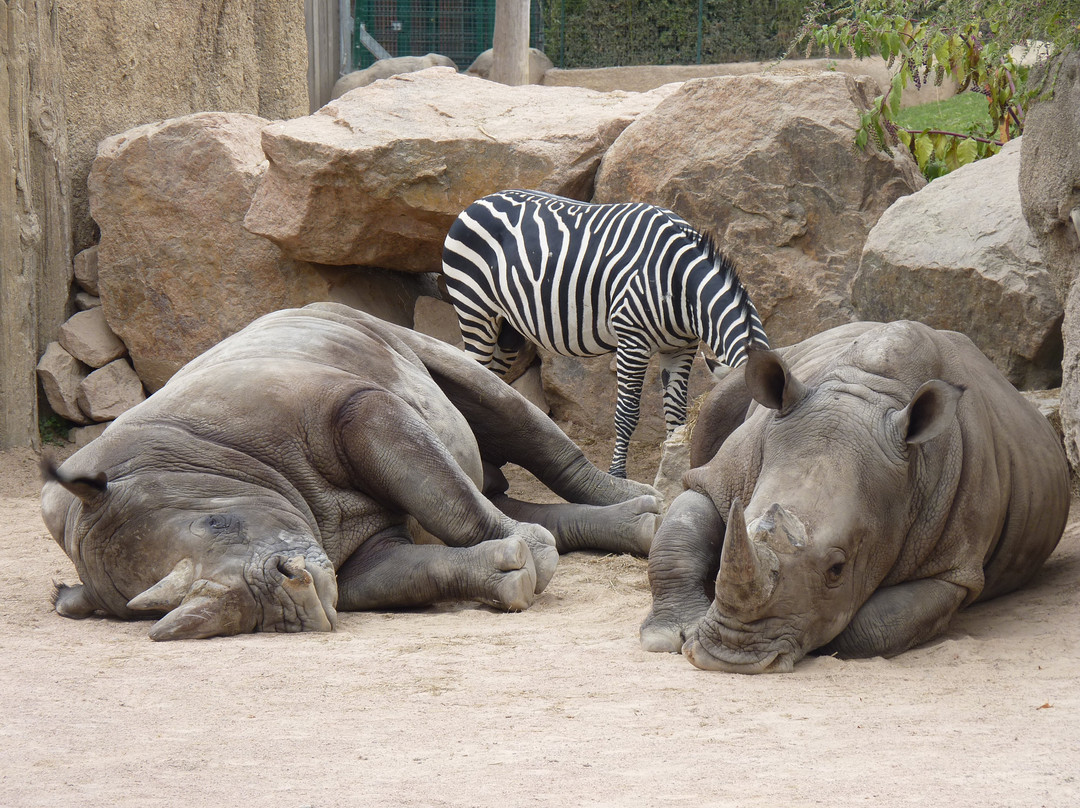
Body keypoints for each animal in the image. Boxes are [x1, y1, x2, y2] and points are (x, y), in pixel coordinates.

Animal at [440, 187, 768, 479]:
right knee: (473, 368)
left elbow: (676, 415)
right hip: (475, 309)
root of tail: (478, 201)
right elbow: (627, 414)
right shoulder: (633, 341)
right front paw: (618, 473)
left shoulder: (681, 347)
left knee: (491, 379)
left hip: (508, 327)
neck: (682, 283)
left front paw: (673, 471)